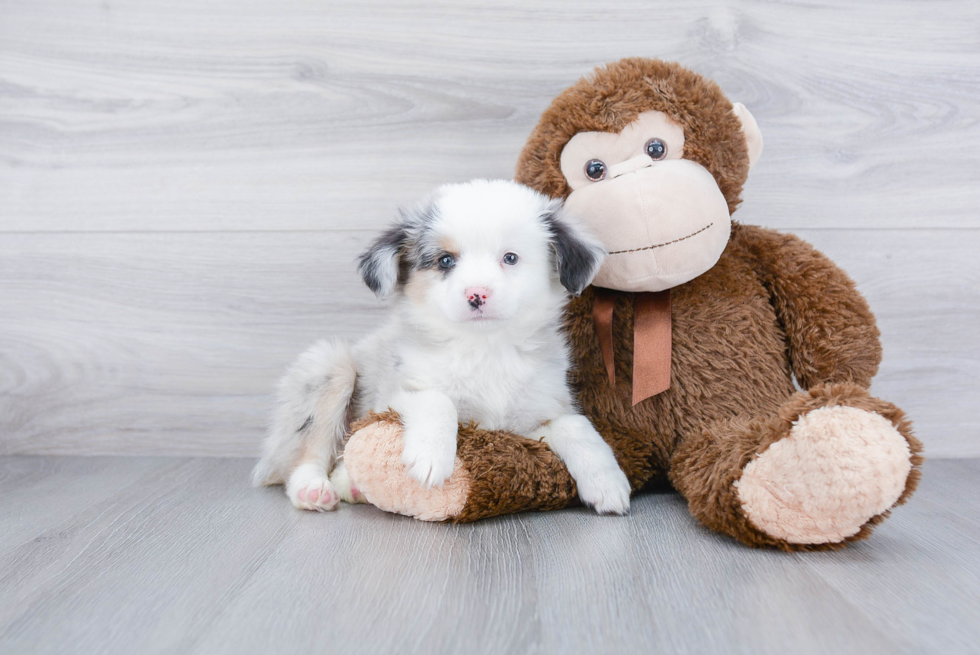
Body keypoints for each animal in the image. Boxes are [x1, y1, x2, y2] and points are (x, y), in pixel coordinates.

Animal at [253, 181, 632, 516]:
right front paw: (431, 456)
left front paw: (608, 482)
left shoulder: (527, 423)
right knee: (304, 455)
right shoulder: (392, 395)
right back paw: (313, 489)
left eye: (510, 258)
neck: (484, 349)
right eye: (446, 261)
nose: (477, 294)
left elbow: (576, 426)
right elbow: (437, 399)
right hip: (331, 366)